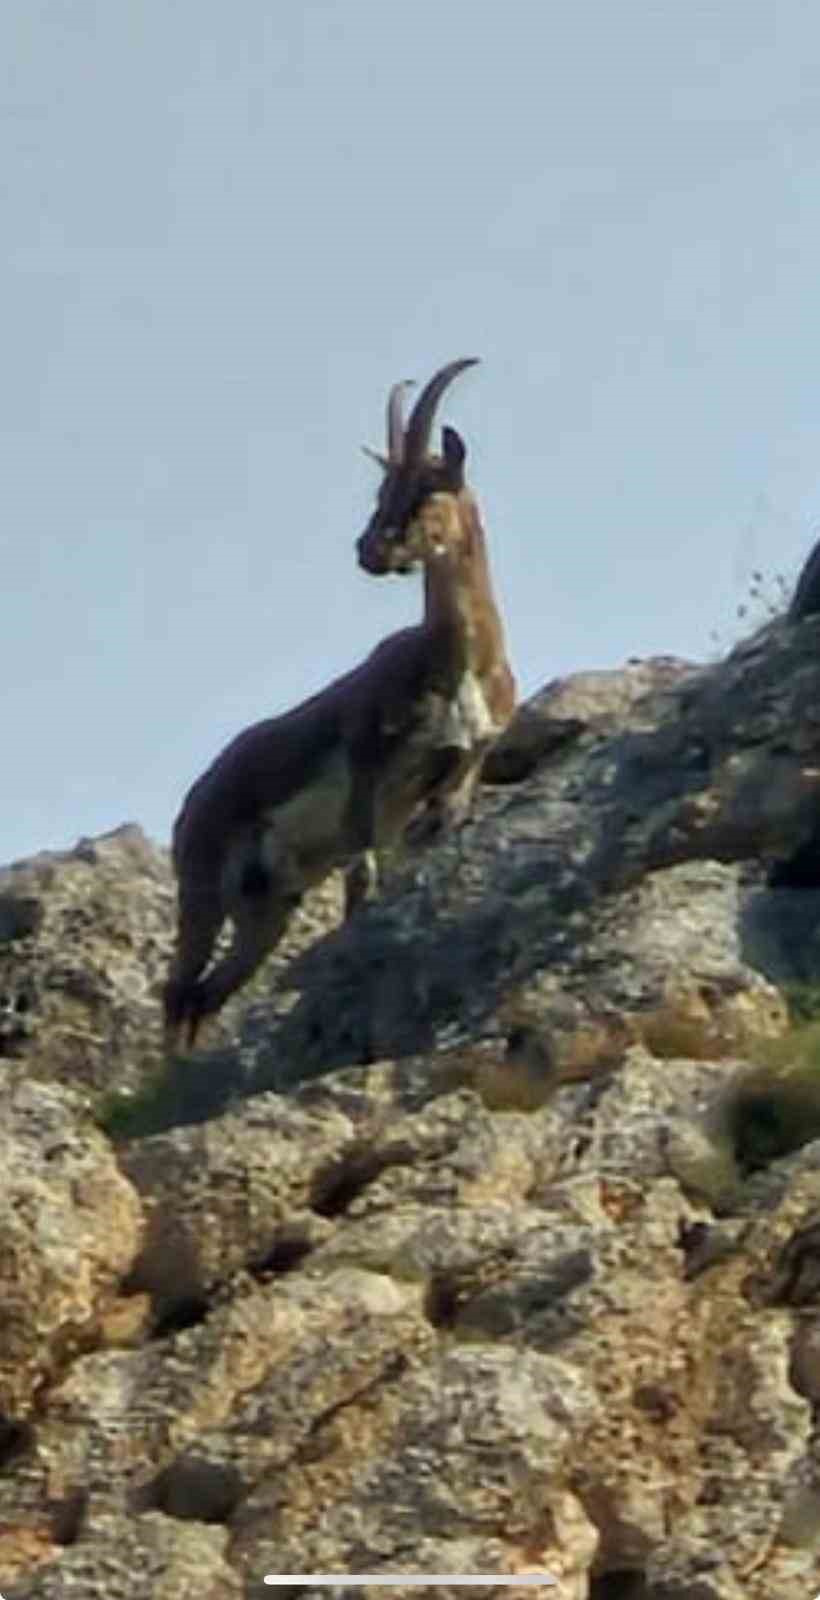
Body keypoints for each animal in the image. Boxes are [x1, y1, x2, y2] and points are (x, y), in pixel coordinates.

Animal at [163, 356, 515, 1043]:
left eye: (427, 487)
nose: (371, 551)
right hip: (204, 889)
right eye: (381, 491)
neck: (458, 661)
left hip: (267, 904)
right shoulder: (366, 764)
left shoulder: (462, 764)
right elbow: (363, 876)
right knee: (178, 991)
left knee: (205, 996)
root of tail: (193, 800)